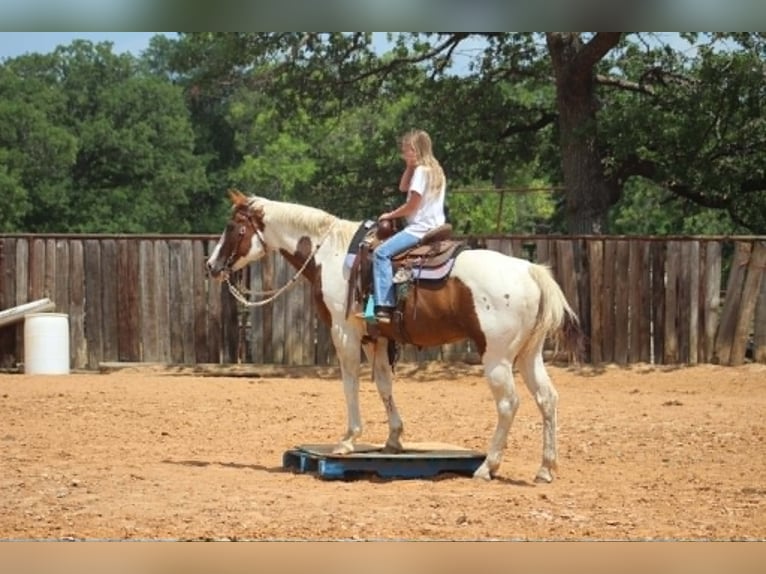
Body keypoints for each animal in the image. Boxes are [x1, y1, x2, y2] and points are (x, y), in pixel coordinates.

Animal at [206, 189, 584, 482]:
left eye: (233, 227)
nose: (211, 266)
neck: (331, 252)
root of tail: (530, 271)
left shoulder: (344, 332)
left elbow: (350, 383)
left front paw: (348, 440)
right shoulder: (379, 338)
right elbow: (384, 384)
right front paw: (393, 440)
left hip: (497, 356)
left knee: (508, 404)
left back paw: (487, 467)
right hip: (528, 354)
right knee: (547, 399)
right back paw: (545, 469)